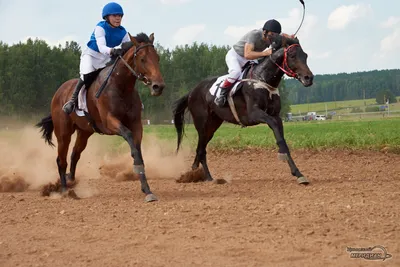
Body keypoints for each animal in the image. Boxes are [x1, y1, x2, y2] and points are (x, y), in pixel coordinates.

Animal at [35, 32, 164, 202]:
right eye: (142, 59)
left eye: (157, 58)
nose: (158, 86)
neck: (121, 86)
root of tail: (58, 92)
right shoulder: (110, 122)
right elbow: (130, 139)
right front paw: (137, 168)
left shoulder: (137, 124)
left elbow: (137, 150)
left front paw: (147, 189)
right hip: (63, 133)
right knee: (61, 160)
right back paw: (64, 191)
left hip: (84, 132)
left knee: (75, 154)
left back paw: (70, 179)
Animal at [173, 37, 314, 184]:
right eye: (292, 56)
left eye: (305, 56)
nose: (309, 78)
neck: (262, 79)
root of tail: (191, 92)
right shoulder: (255, 114)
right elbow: (277, 133)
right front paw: (284, 157)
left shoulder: (276, 115)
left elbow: (281, 136)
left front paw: (298, 173)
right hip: (202, 124)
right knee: (201, 150)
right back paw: (207, 177)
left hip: (212, 125)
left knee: (201, 148)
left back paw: (196, 172)